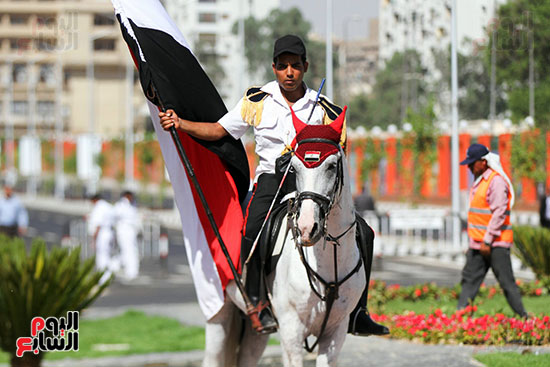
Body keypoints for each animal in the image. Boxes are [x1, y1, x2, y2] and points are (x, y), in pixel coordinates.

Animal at [202, 107, 362, 367]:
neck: (330, 263)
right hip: (220, 309)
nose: (307, 227)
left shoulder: (336, 331)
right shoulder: (291, 330)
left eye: (331, 166)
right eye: (294, 167)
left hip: (255, 333)